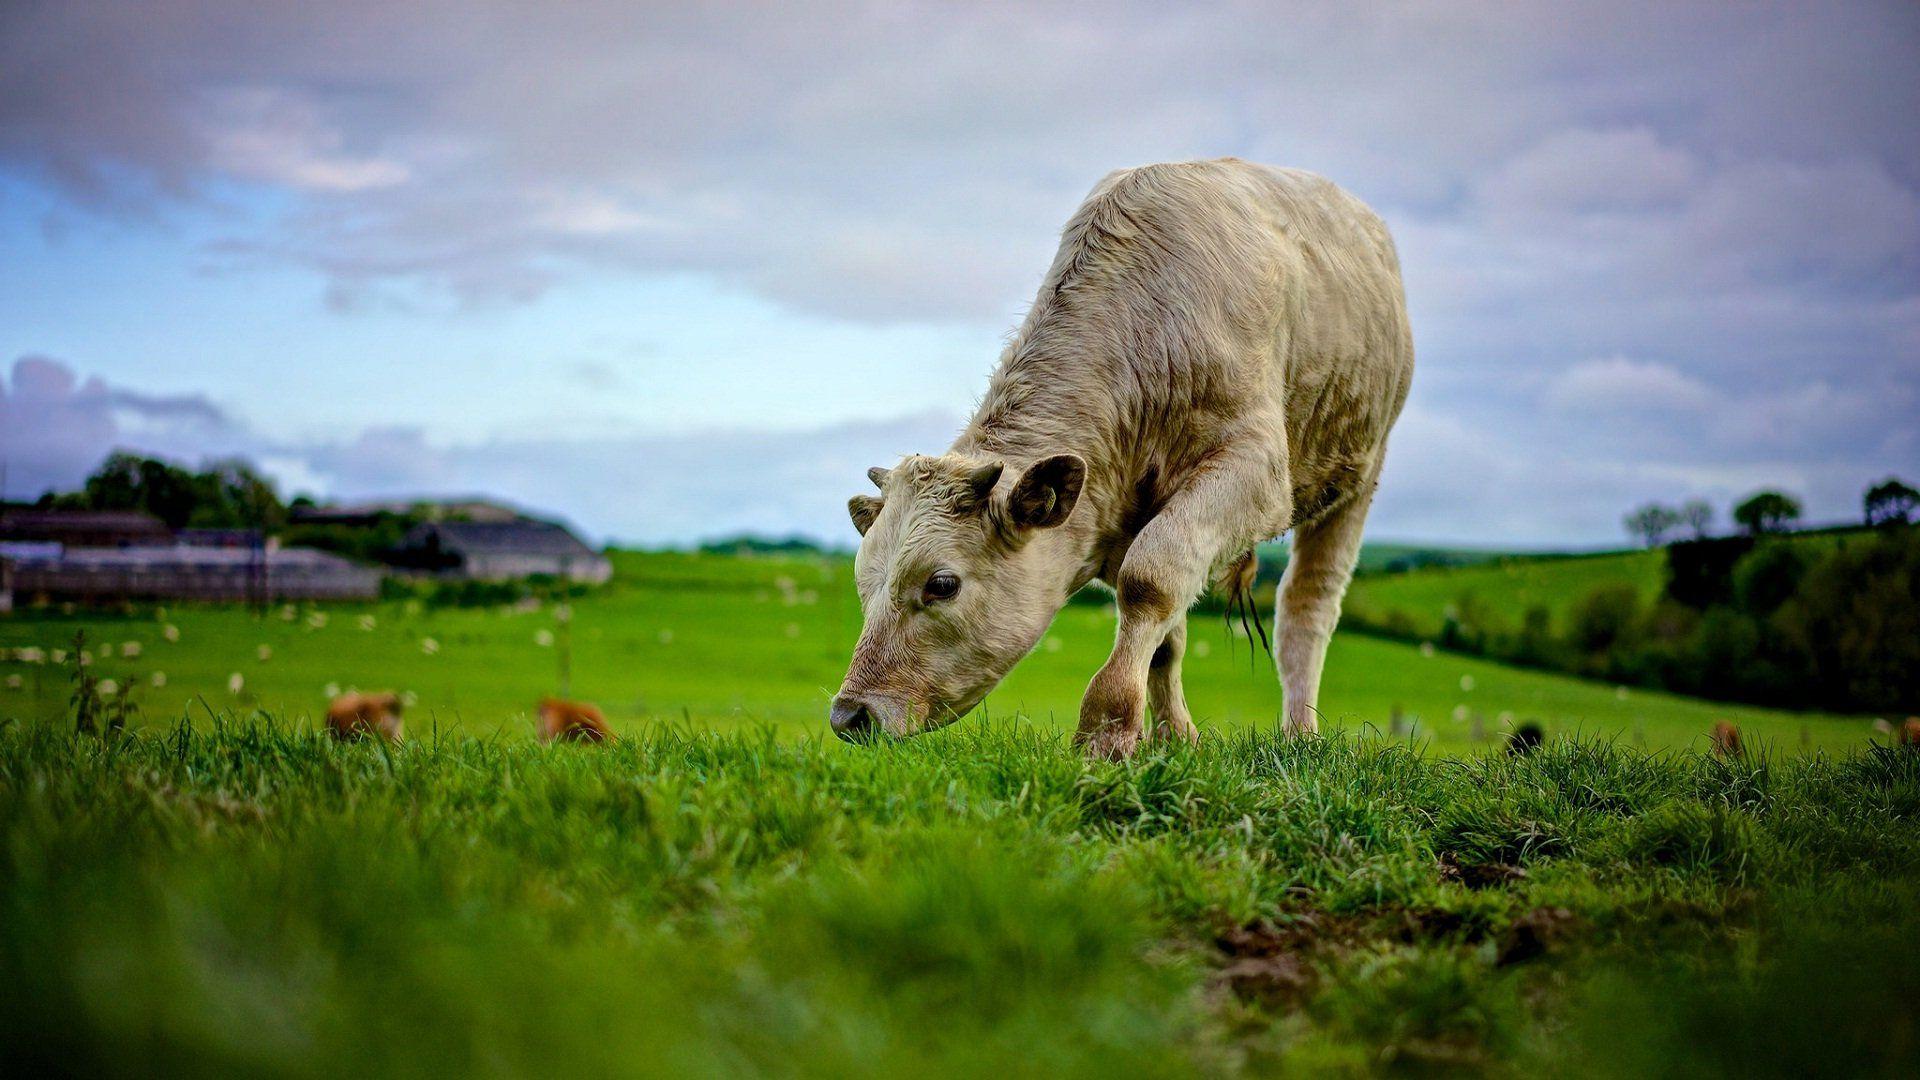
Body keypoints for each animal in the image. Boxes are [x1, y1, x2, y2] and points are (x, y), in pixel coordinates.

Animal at [833, 159, 1414, 758]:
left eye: (942, 584)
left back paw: (1300, 733)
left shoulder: (1252, 471)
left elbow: (1149, 580)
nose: (850, 714)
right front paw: (1173, 737)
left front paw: (1106, 726)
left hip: (1355, 478)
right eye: (863, 583)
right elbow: (1166, 634)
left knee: (1307, 606)